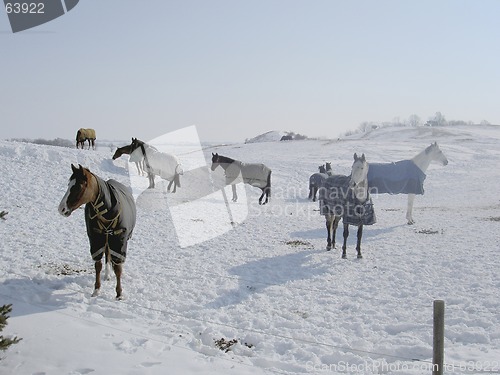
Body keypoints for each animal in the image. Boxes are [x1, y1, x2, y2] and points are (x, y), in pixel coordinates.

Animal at [57, 164, 136, 300]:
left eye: (78, 186)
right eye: (68, 184)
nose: (61, 209)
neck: (108, 211)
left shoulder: (119, 241)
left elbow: (118, 268)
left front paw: (119, 294)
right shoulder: (96, 240)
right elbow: (98, 266)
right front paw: (96, 290)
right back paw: (107, 275)